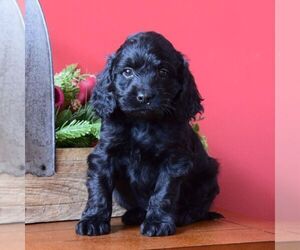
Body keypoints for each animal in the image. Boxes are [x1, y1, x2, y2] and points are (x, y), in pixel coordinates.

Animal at [75, 31, 220, 236]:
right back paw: (134, 215)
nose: (144, 97)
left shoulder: (174, 160)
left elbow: (163, 193)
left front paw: (157, 223)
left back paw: (183, 216)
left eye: (163, 72)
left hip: (208, 178)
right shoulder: (104, 154)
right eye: (127, 71)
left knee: (199, 208)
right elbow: (99, 188)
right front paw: (93, 220)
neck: (142, 122)